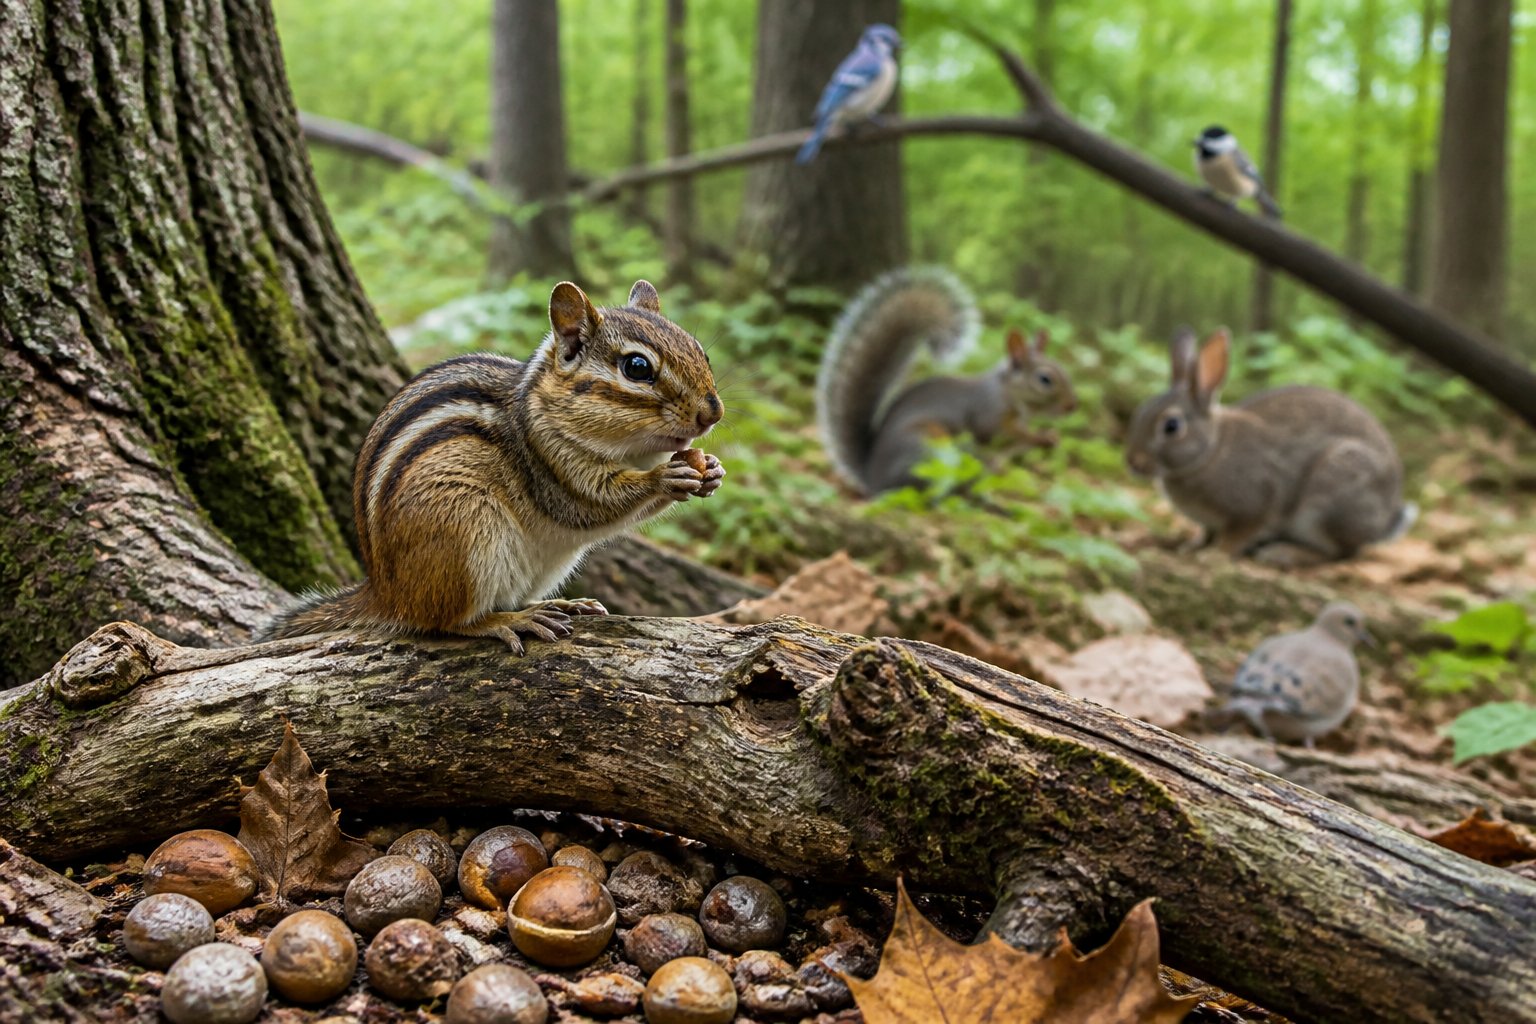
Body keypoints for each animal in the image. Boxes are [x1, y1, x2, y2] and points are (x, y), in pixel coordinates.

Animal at [259, 279, 725, 653]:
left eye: (701, 351)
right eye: (637, 367)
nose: (712, 413)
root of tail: (386, 593)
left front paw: (711, 470)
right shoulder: (550, 465)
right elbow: (593, 503)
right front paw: (665, 477)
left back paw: (559, 603)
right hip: (465, 533)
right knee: (443, 622)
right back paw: (509, 620)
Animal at [816, 266, 1078, 495]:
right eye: (1045, 379)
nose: (1072, 406)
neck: (1007, 393)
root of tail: (872, 479)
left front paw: (1050, 438)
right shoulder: (988, 413)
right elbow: (996, 432)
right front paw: (1039, 436)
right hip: (928, 445)